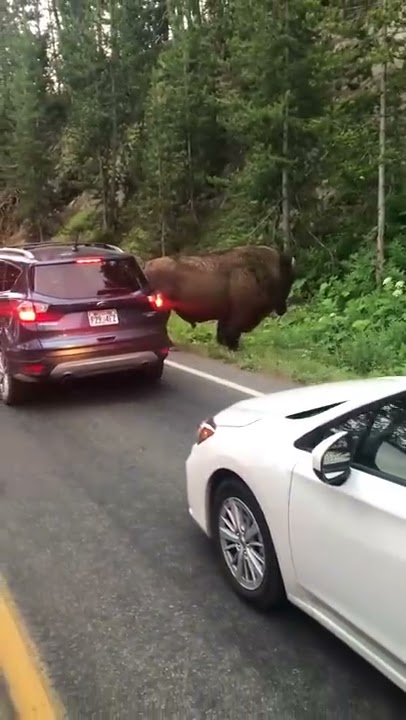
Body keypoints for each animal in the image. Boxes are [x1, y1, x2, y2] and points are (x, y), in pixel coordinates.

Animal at [144, 245, 296, 352]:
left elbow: (222, 331)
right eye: (288, 279)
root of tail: (147, 267)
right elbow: (231, 332)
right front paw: (234, 348)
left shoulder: (226, 316)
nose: (283, 309)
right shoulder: (237, 316)